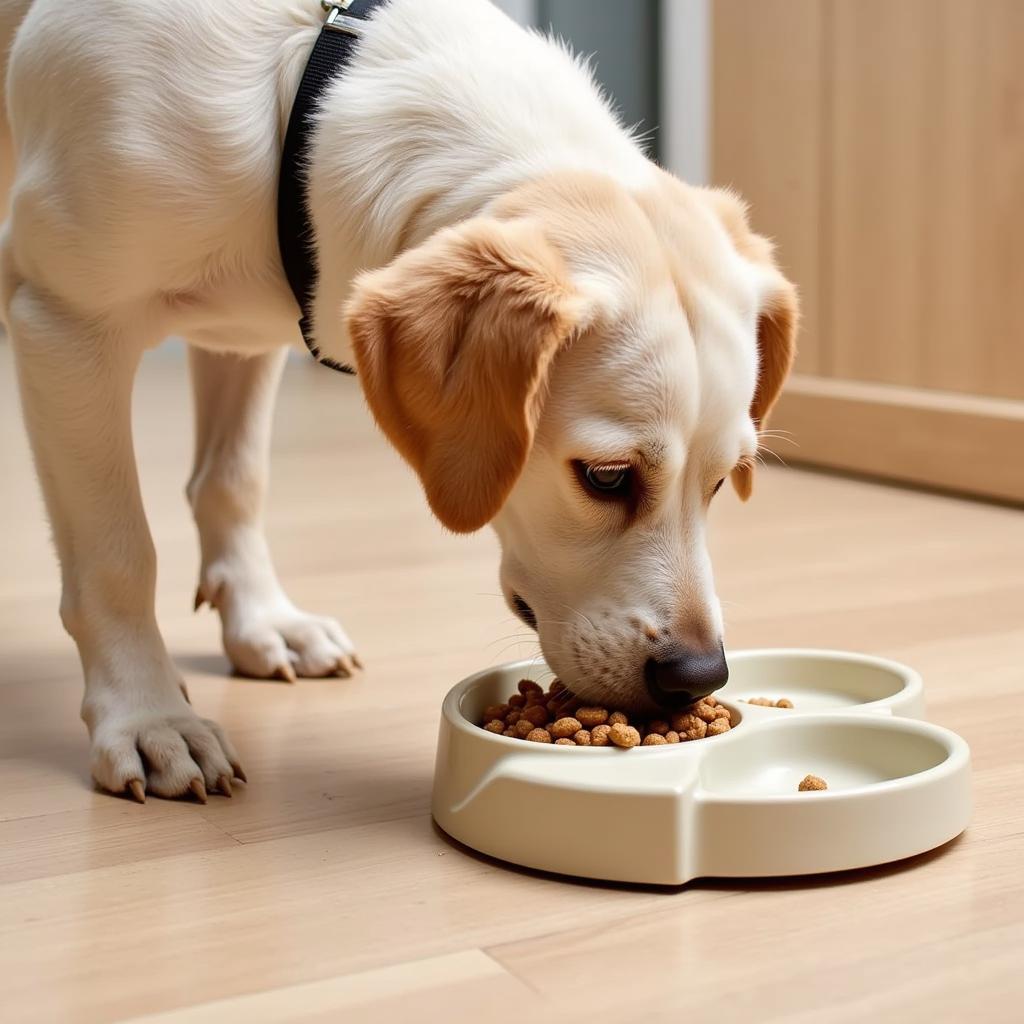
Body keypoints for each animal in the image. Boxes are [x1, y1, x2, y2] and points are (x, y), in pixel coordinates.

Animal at [0, 0, 794, 798]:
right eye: (605, 477)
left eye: (722, 480)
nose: (698, 676)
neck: (299, 102)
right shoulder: (63, 323)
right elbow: (118, 554)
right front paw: (148, 715)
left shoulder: (242, 336)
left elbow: (232, 482)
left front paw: (262, 622)